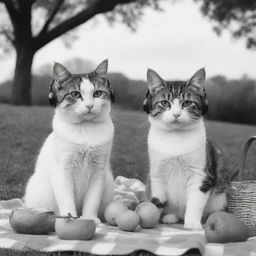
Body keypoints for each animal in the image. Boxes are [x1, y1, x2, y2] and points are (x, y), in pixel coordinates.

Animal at [23, 59, 114, 222]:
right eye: (75, 94)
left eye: (97, 93)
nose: (89, 105)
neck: (85, 129)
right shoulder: (62, 171)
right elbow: (66, 199)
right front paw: (69, 217)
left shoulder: (99, 171)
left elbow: (93, 199)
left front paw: (90, 218)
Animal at [144, 67, 232, 230]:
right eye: (165, 103)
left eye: (187, 103)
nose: (176, 114)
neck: (175, 138)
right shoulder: (156, 175)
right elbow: (157, 200)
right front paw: (151, 217)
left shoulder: (201, 175)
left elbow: (195, 203)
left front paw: (192, 224)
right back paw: (170, 217)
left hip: (219, 198)